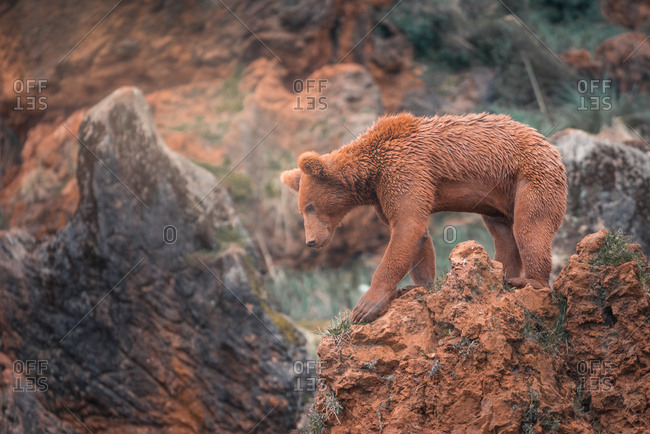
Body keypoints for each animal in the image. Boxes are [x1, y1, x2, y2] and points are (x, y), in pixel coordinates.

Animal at [281, 112, 567, 323]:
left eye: (309, 206)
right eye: (302, 209)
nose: (311, 241)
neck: (371, 174)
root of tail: (551, 147)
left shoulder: (404, 169)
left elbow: (407, 228)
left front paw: (365, 307)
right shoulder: (384, 193)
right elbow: (415, 236)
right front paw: (418, 286)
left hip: (531, 176)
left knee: (530, 226)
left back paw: (531, 281)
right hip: (499, 195)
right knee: (503, 232)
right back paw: (502, 272)